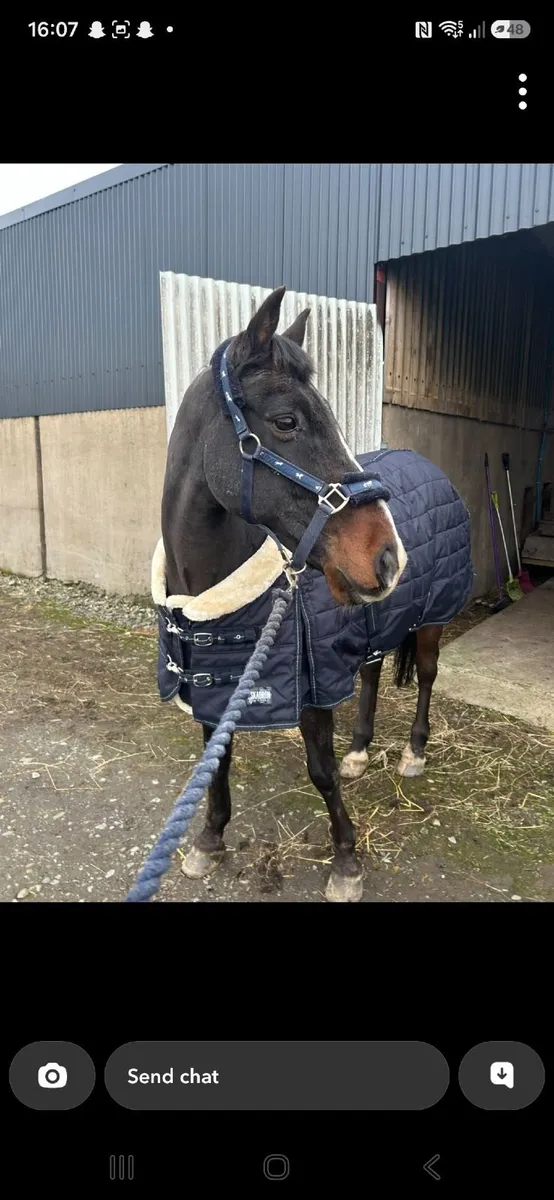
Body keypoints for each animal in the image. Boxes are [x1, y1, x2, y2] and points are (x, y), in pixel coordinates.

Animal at [155, 285, 472, 902]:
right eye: (286, 421)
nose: (389, 556)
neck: (212, 600)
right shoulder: (217, 688)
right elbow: (217, 757)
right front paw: (208, 841)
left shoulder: (312, 685)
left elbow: (319, 771)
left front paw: (346, 863)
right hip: (373, 620)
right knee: (372, 674)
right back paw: (360, 752)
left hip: (430, 618)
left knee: (425, 676)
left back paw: (413, 754)